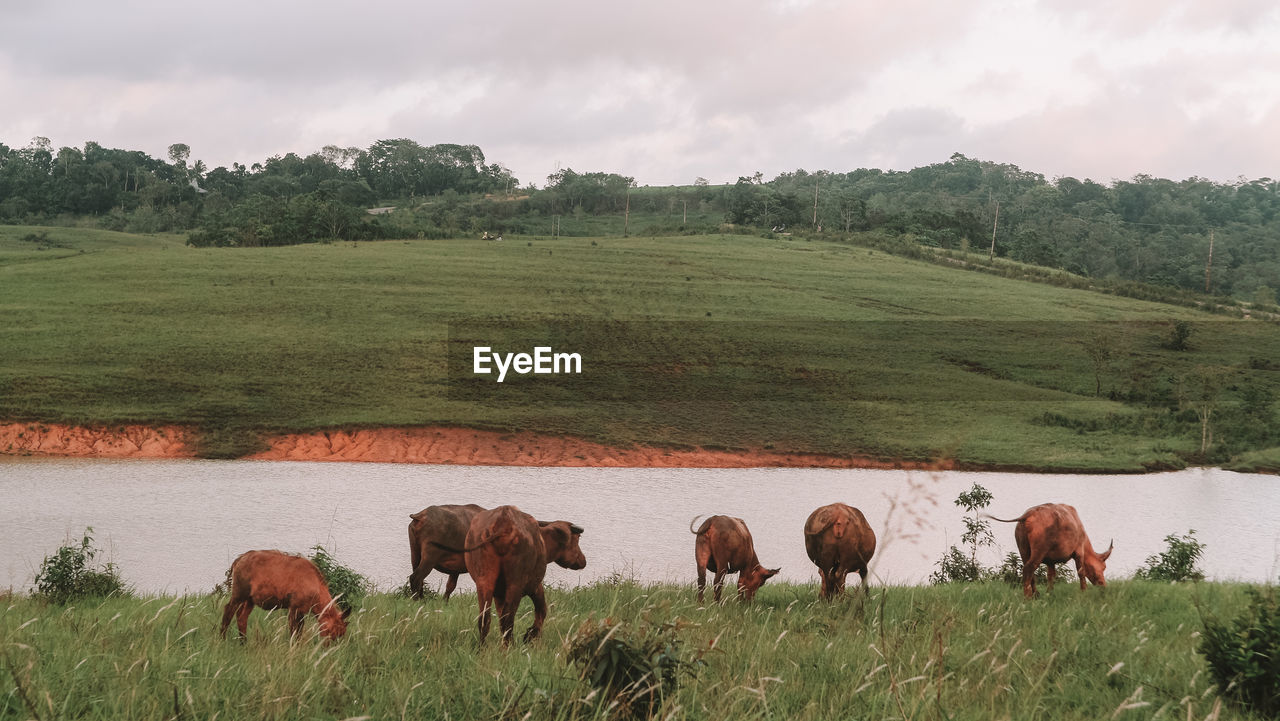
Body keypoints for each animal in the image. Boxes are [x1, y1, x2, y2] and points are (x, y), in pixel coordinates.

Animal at [218, 550, 348, 645]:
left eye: (342, 633)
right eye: (334, 631)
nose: (329, 646)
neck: (315, 585)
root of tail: (240, 558)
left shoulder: (301, 611)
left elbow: (299, 630)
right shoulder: (294, 608)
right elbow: (294, 631)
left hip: (250, 600)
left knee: (241, 617)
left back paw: (243, 642)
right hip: (239, 594)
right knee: (228, 611)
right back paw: (222, 639)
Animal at [465, 504, 586, 645]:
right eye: (577, 539)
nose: (583, 560)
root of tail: (504, 519)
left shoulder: (499, 594)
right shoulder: (535, 586)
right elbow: (542, 609)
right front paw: (531, 635)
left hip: (484, 581)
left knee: (485, 618)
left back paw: (484, 647)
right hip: (515, 583)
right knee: (508, 619)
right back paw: (508, 646)